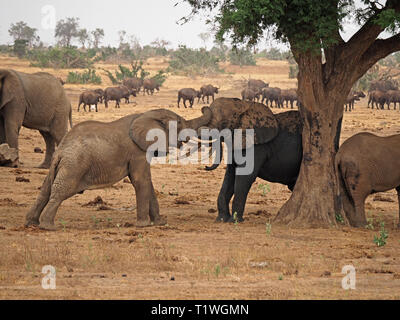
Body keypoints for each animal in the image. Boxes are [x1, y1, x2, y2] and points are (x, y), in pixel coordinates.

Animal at [24, 107, 212, 230]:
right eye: (179, 122)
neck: (147, 114)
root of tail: (62, 150)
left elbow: (147, 183)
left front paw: (160, 223)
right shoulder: (137, 152)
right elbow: (140, 181)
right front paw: (143, 226)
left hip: (60, 166)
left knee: (45, 190)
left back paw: (31, 223)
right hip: (74, 166)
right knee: (60, 192)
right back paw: (48, 227)